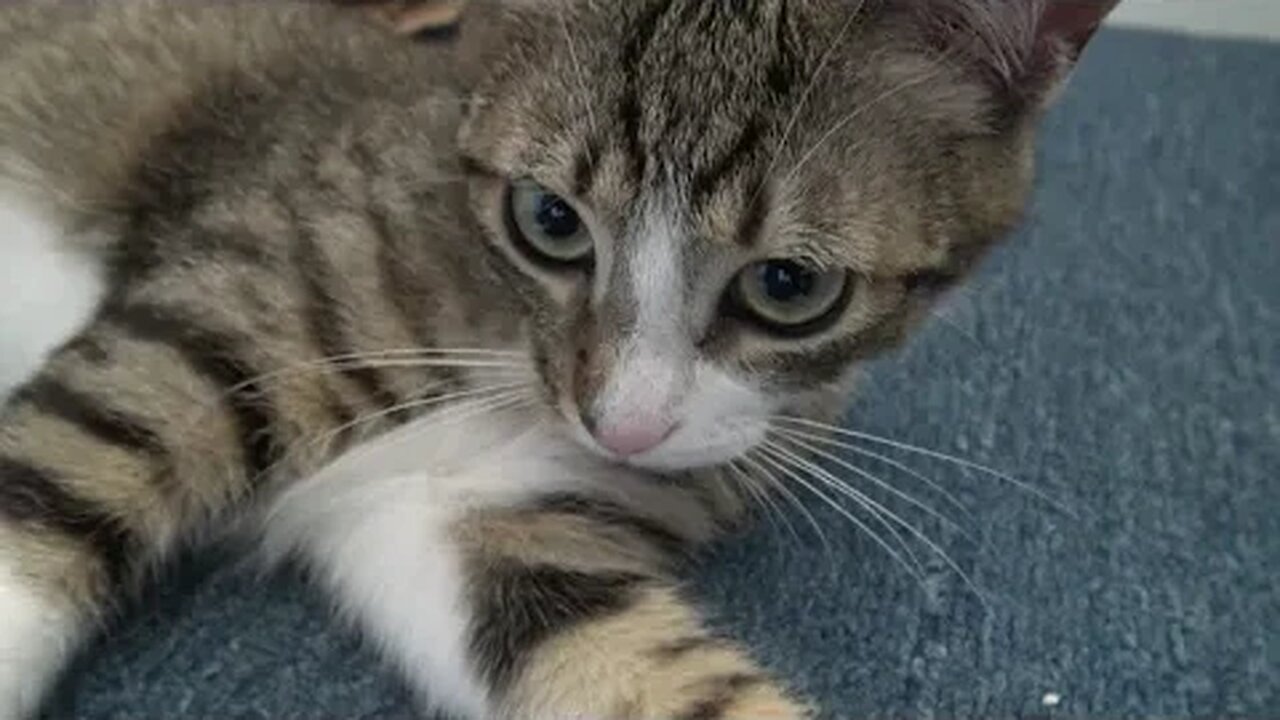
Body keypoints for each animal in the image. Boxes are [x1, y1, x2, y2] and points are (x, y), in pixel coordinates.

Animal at [0, 0, 1111, 712]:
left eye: (790, 287)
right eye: (547, 219)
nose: (622, 425)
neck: (497, 336)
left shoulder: (484, 525)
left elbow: (642, 673)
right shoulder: (212, 325)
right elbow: (59, 480)